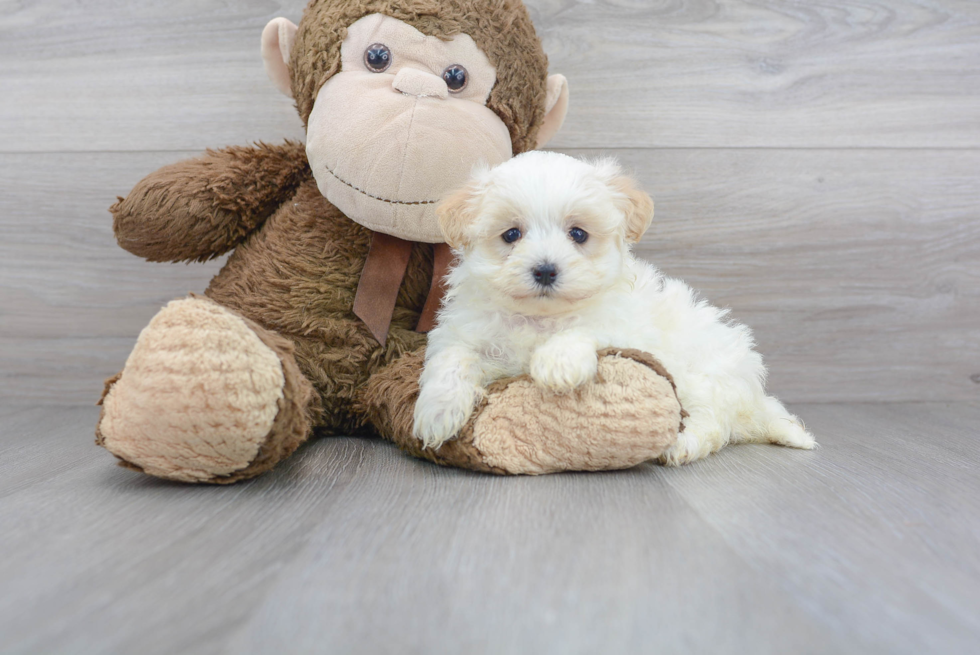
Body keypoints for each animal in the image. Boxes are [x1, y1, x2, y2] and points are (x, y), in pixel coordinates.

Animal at [410, 151, 816, 464]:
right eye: (511, 234)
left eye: (578, 234)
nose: (545, 269)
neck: (541, 318)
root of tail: (753, 394)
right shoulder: (463, 331)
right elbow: (453, 357)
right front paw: (437, 412)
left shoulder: (622, 325)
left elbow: (585, 327)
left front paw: (558, 362)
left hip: (699, 375)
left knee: (713, 421)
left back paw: (683, 443)